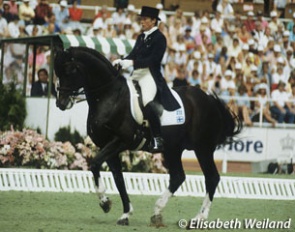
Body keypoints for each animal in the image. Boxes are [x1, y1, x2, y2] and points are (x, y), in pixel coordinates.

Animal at [53, 46, 243, 227]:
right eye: (57, 72)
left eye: (70, 70)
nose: (61, 103)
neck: (110, 97)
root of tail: (209, 100)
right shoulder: (108, 146)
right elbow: (118, 178)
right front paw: (125, 214)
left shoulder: (120, 141)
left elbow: (94, 164)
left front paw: (105, 203)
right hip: (173, 149)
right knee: (178, 177)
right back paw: (157, 211)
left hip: (202, 148)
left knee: (212, 178)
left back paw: (198, 218)